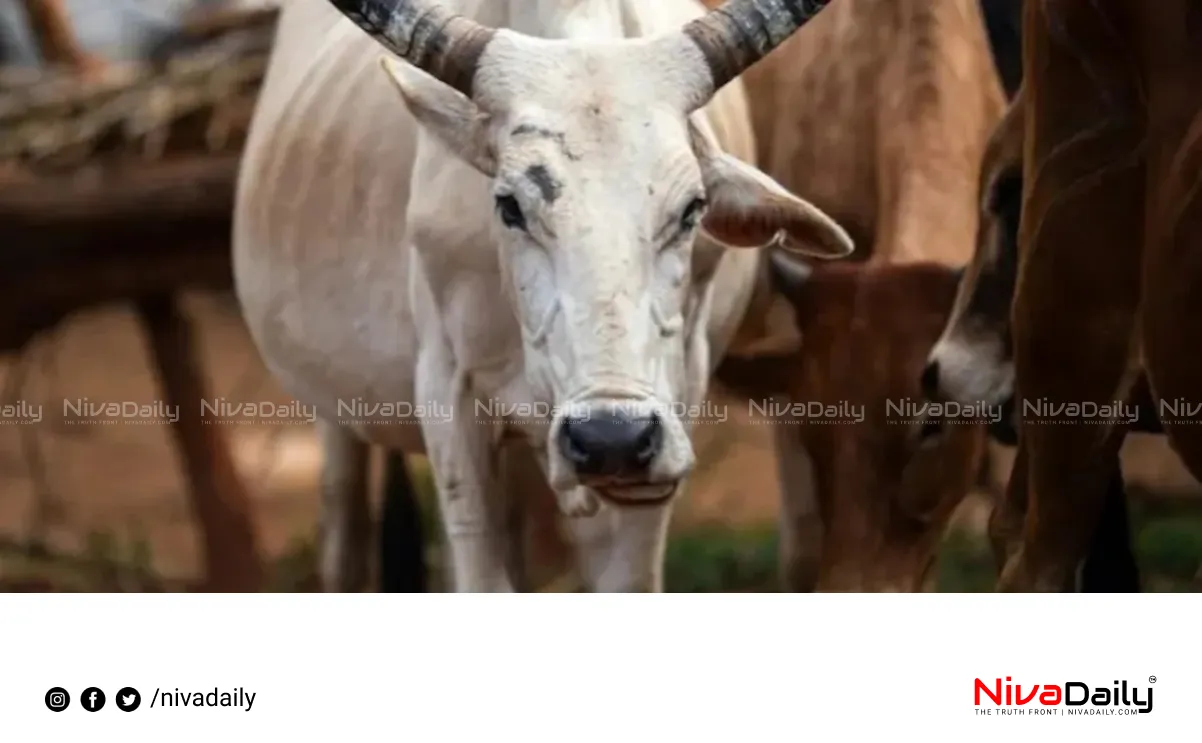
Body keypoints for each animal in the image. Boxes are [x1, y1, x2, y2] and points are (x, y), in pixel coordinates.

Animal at [234, 0, 851, 589]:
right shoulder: (449, 399)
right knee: (343, 537)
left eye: (692, 209)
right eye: (510, 206)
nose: (610, 438)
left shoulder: (669, 426)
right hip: (335, 420)